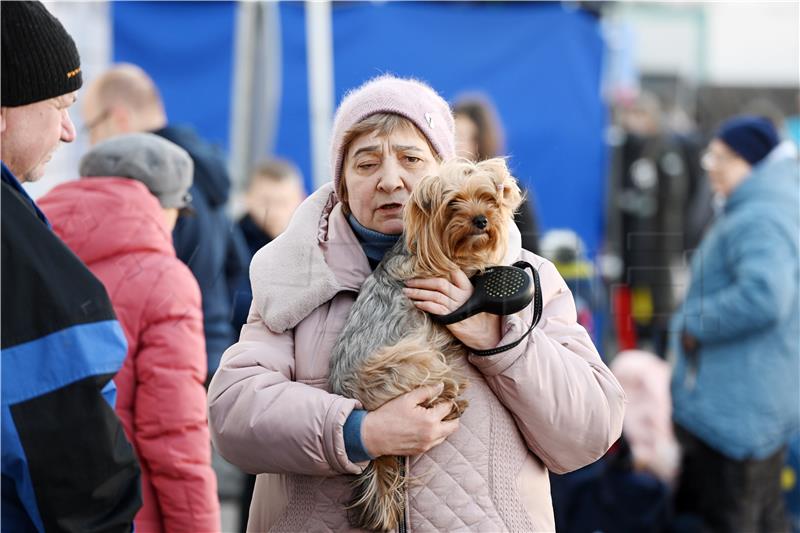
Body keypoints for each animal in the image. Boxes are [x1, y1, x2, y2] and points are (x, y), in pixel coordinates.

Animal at [328, 157, 520, 528]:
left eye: (488, 198)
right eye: (453, 204)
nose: (481, 220)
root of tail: (353, 399)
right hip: (408, 359)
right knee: (437, 384)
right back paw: (451, 397)